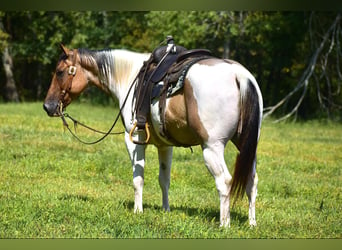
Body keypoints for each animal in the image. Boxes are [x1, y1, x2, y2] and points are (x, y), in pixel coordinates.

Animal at [42, 44, 262, 228]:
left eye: (59, 72)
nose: (47, 106)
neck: (130, 77)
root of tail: (239, 74)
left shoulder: (134, 141)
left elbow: (138, 179)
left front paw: (138, 211)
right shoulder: (165, 146)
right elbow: (164, 179)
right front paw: (166, 210)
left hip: (212, 148)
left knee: (224, 181)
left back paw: (224, 224)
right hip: (246, 147)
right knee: (252, 181)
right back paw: (252, 223)